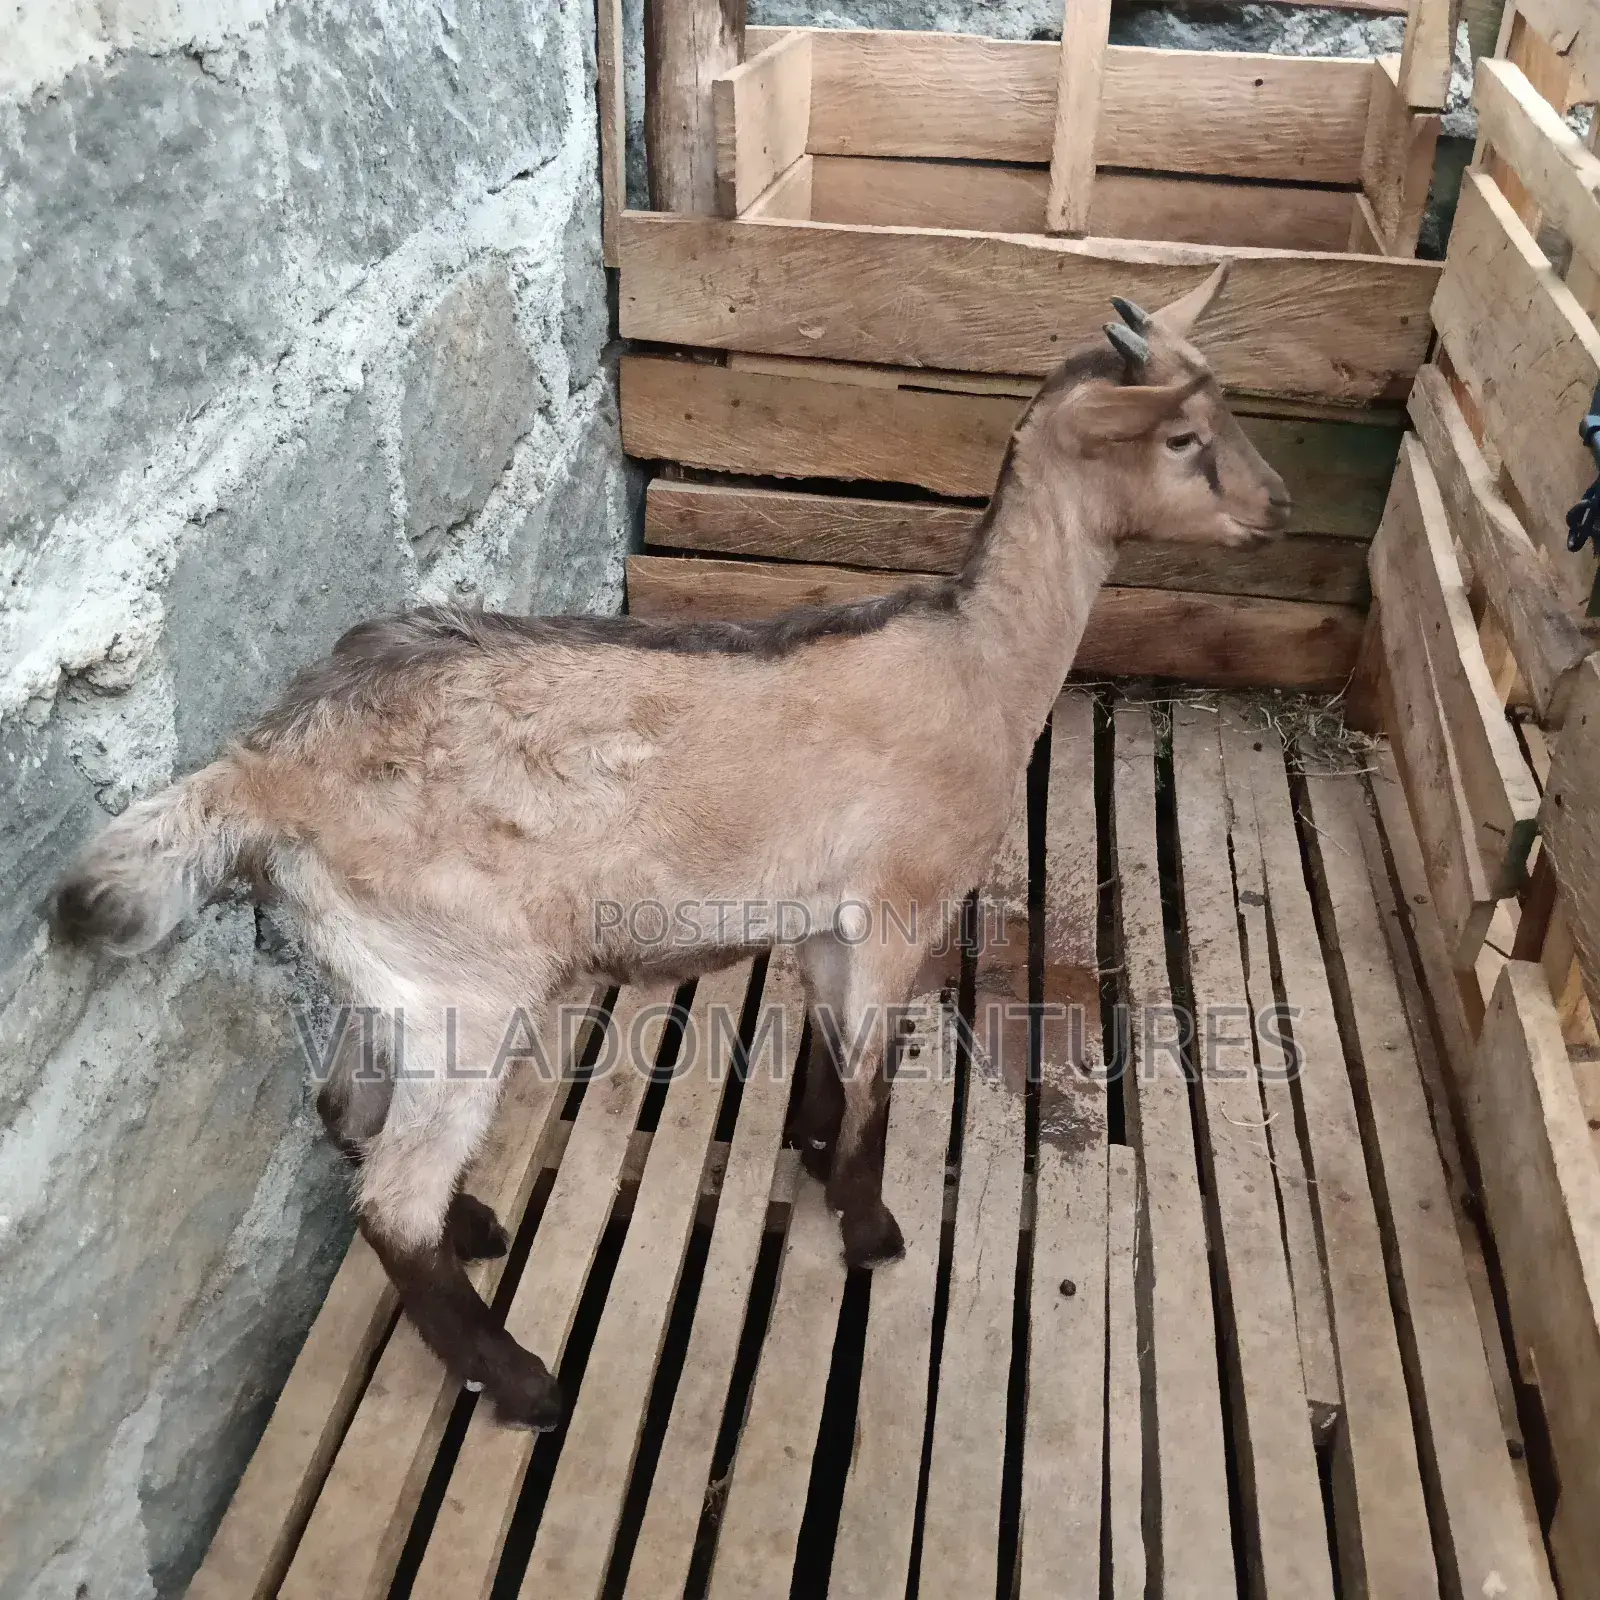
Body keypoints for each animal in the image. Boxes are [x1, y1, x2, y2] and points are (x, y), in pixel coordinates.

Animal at [51, 262, 1289, 1430]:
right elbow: (877, 1072)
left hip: (387, 977)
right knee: (392, 1199)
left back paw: (475, 1222)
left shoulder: (824, 914)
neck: (975, 659)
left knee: (347, 1115)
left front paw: (811, 1154)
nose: (1277, 504)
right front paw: (871, 1228)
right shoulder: (899, 903)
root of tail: (263, 768)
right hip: (465, 990)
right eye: (1182, 437)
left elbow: (831, 1049)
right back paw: (523, 1380)